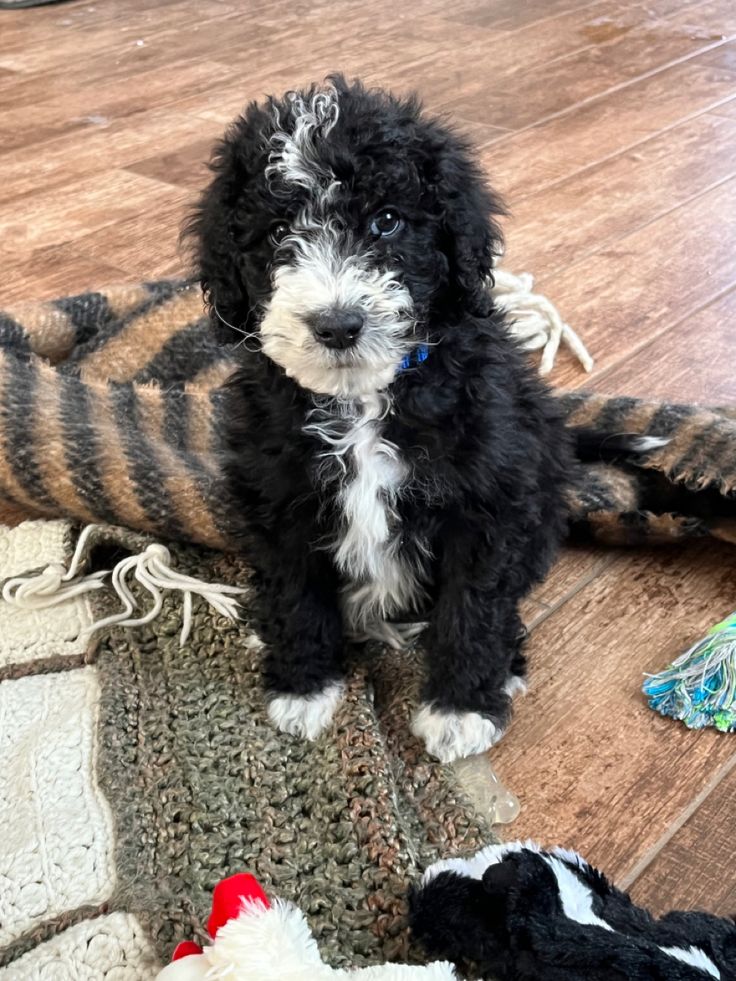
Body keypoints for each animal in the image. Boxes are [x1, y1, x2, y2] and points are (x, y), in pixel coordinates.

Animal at [190, 78, 576, 764]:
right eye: (278, 232)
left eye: (388, 221)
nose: (338, 325)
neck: (364, 400)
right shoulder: (279, 497)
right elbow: (295, 591)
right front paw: (304, 686)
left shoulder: (487, 501)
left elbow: (473, 604)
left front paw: (460, 706)